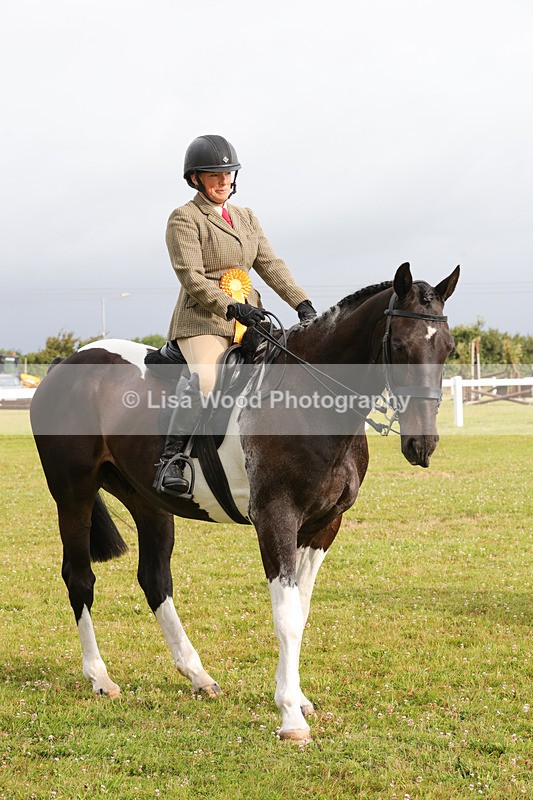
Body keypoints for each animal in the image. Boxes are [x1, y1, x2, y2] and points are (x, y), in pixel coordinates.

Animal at [30, 262, 459, 742]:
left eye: (448, 347)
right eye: (400, 346)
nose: (422, 444)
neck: (311, 402)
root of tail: (65, 365)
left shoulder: (322, 527)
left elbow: (300, 611)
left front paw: (299, 698)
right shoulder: (276, 518)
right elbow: (286, 616)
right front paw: (290, 716)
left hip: (148, 501)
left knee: (155, 579)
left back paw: (198, 676)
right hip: (74, 493)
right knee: (80, 578)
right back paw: (100, 677)